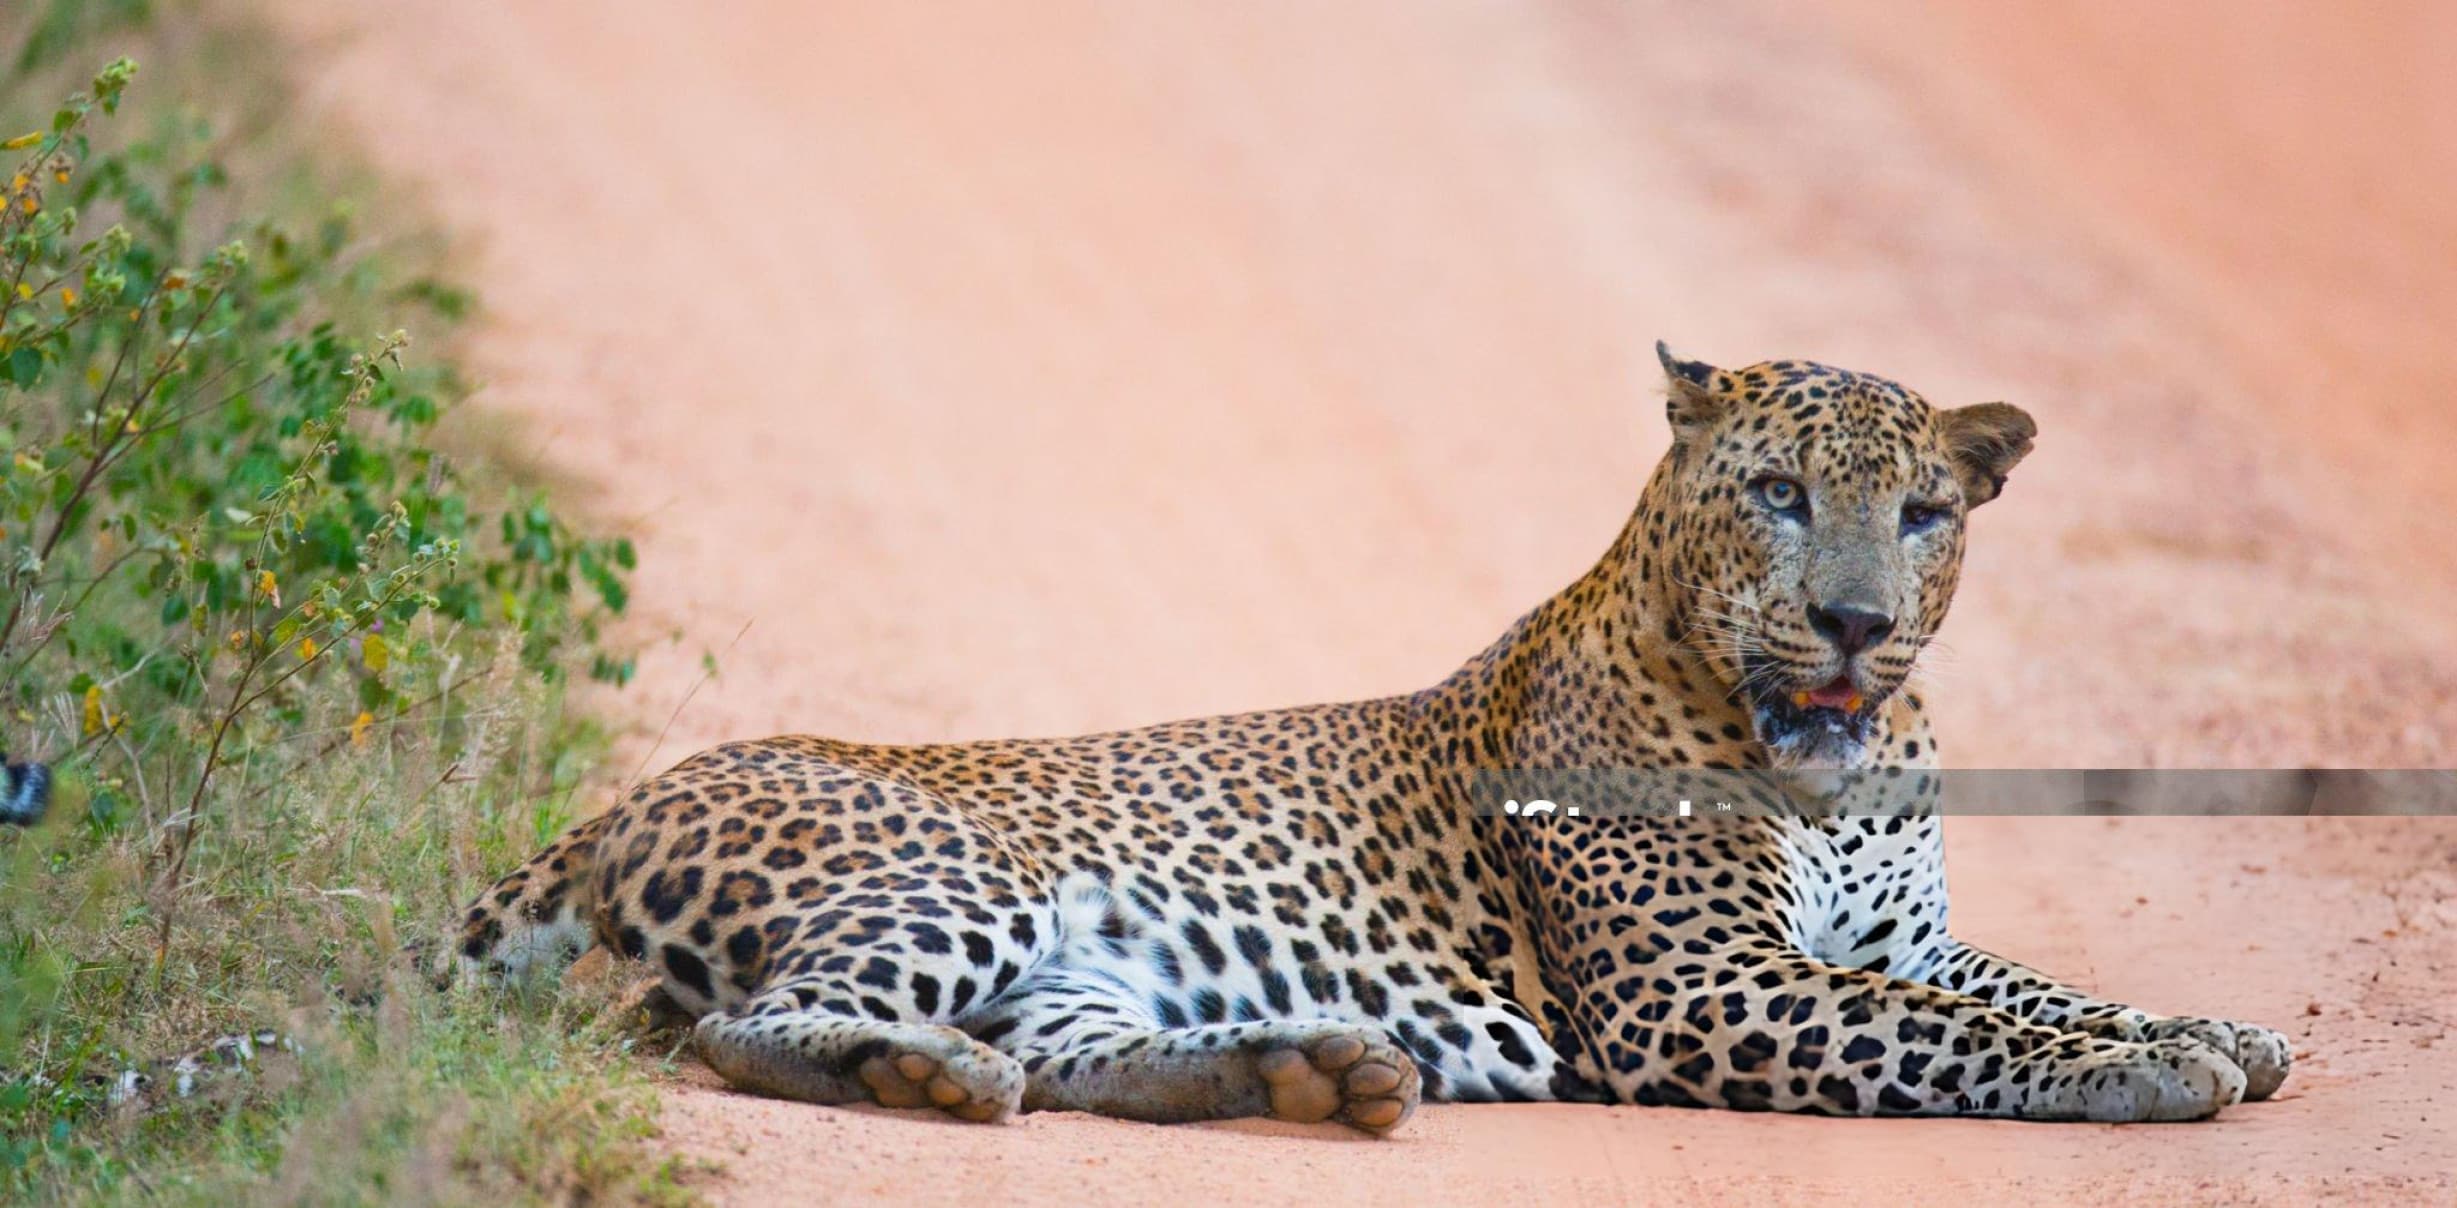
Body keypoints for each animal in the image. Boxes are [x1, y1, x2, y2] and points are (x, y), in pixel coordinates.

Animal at [451, 343, 2289, 1133]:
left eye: (1920, 514)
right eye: (1779, 494)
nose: (1853, 622)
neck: (1833, 753)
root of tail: (635, 790)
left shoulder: (1896, 931)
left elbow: (2024, 982)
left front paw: (2204, 1024)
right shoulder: (1693, 986)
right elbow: (1942, 1029)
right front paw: (2136, 1072)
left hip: (1070, 956)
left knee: (1073, 1051)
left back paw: (1301, 1066)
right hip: (956, 878)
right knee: (738, 1025)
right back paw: (935, 1075)